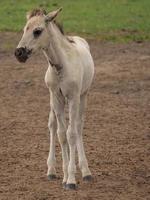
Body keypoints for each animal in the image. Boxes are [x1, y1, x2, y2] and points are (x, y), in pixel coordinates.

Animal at [15, 7, 95, 189]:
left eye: (37, 31)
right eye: (24, 29)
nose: (19, 53)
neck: (62, 65)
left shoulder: (73, 97)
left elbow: (72, 133)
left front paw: (71, 179)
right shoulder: (57, 97)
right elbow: (61, 134)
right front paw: (65, 176)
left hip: (83, 96)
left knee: (78, 126)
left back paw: (86, 171)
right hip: (52, 100)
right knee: (52, 125)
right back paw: (51, 170)